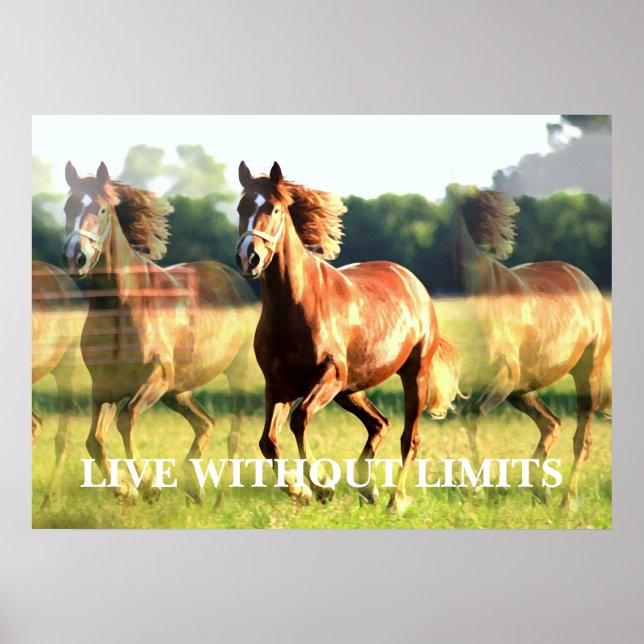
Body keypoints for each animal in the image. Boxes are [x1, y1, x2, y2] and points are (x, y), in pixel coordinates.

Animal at [61, 162, 257, 503]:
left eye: (100, 209)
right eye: (66, 207)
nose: (76, 257)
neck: (122, 305)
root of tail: (233, 276)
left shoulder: (156, 376)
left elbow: (126, 419)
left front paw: (148, 485)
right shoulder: (105, 387)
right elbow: (94, 441)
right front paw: (126, 489)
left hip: (234, 373)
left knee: (235, 434)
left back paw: (219, 496)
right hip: (178, 391)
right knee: (205, 423)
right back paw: (194, 489)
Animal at [234, 161, 461, 511]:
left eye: (273, 209)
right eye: (240, 207)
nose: (249, 258)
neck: (294, 307)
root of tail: (413, 282)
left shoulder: (330, 374)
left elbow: (299, 419)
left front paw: (320, 486)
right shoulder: (278, 386)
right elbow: (268, 441)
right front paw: (299, 490)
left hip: (412, 376)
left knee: (409, 438)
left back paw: (395, 500)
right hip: (350, 389)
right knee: (379, 424)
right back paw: (367, 488)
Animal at [448, 185, 611, 506]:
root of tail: (587, 283)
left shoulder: (503, 378)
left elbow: (472, 416)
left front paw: (479, 489)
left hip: (585, 377)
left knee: (581, 439)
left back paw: (566, 501)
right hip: (524, 390)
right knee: (552, 424)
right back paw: (541, 489)